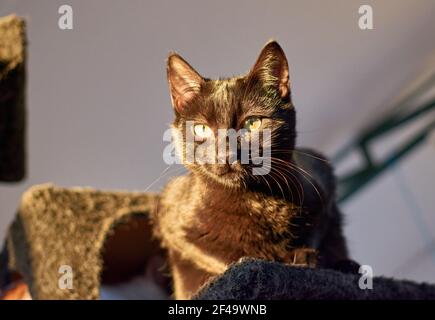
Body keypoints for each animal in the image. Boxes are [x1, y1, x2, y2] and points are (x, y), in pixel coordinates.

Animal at [155, 40, 352, 300]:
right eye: (201, 129)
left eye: (252, 123)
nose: (226, 154)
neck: (256, 200)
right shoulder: (171, 219)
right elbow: (227, 259)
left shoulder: (323, 183)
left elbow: (317, 233)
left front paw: (305, 257)